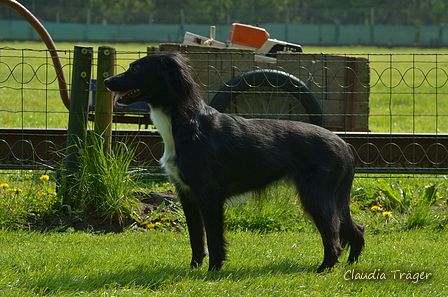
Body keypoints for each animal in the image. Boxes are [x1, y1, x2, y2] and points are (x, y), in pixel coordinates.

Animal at [105, 52, 364, 272]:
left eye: (135, 69)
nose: (107, 81)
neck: (185, 122)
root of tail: (344, 145)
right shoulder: (186, 193)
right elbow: (196, 238)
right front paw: (194, 268)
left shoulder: (209, 194)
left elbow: (213, 237)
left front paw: (214, 270)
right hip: (335, 197)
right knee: (356, 230)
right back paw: (351, 263)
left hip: (316, 195)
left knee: (333, 236)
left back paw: (325, 267)